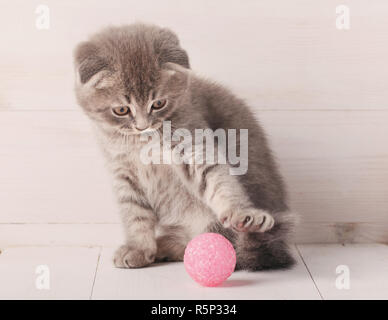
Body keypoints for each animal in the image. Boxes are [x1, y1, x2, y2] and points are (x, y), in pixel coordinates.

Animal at [74, 22, 296, 270]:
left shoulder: (192, 145)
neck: (140, 142)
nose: (142, 126)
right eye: (121, 110)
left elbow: (217, 180)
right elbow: (134, 211)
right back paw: (162, 247)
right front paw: (139, 248)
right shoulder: (123, 171)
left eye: (158, 104)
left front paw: (242, 212)